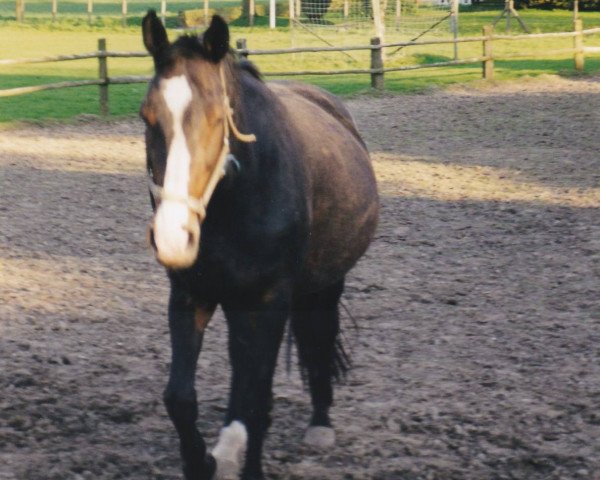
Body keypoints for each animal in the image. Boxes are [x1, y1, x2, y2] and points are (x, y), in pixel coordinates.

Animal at [138, 11, 378, 480]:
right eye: (146, 117)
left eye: (217, 117)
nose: (174, 236)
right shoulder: (192, 295)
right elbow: (181, 398)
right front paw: (203, 462)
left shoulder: (269, 302)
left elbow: (258, 400)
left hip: (324, 287)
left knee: (318, 341)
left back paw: (319, 423)